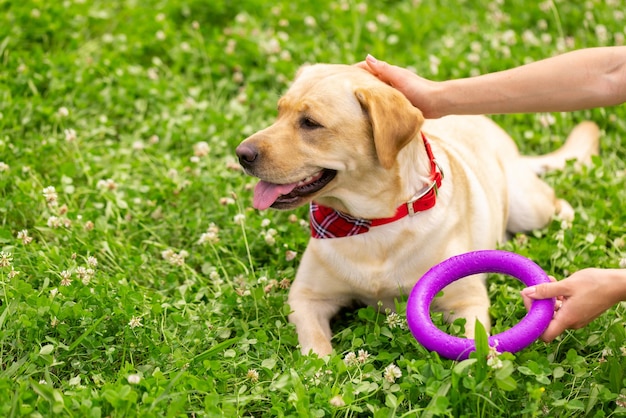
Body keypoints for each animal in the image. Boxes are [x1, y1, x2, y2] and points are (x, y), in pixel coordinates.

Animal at [236, 62, 596, 356]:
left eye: (310, 123)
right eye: (279, 112)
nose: (242, 154)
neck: (372, 222)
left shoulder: (466, 299)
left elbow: (476, 341)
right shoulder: (306, 298)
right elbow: (315, 345)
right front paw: (322, 375)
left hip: (529, 206)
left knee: (557, 203)